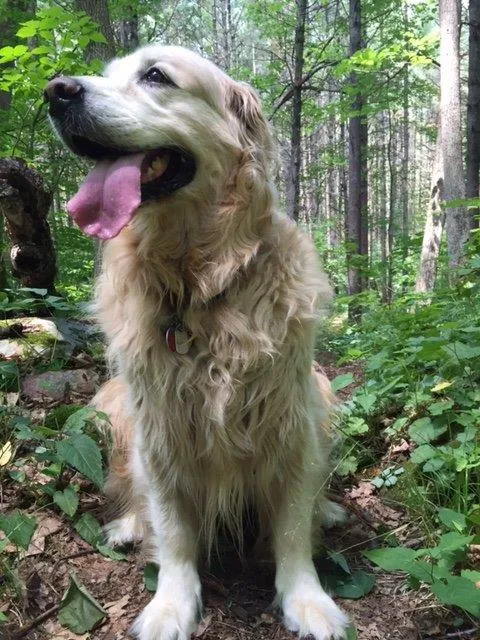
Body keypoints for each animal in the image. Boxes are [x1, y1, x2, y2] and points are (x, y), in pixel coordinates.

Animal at [43, 46, 346, 640]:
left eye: (156, 75)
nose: (56, 92)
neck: (199, 286)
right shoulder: (160, 427)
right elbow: (174, 528)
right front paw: (171, 604)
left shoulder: (292, 420)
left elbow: (292, 526)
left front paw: (308, 599)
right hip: (116, 407)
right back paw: (129, 525)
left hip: (321, 391)